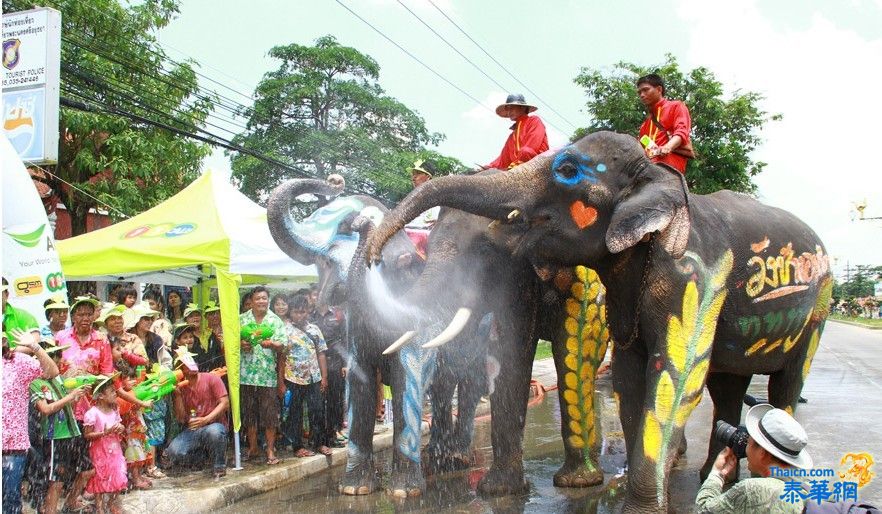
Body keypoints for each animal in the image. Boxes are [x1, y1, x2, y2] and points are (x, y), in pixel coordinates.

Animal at [364, 130, 832, 510]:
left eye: (568, 170)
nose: (371, 256)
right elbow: (524, 358)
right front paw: (499, 492)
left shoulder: (689, 277)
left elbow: (667, 372)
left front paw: (587, 489)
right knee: (727, 384)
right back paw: (704, 472)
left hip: (820, 305)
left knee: (785, 380)